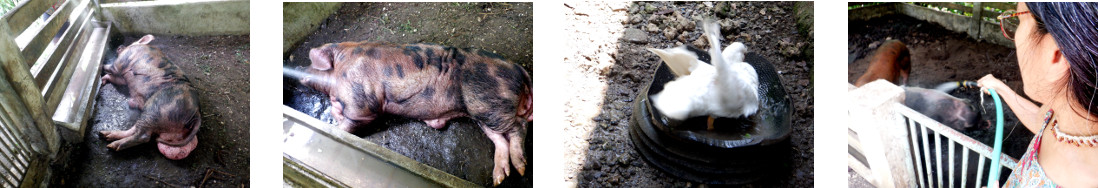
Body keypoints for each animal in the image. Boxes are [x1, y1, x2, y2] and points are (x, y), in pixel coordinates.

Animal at [300, 41, 531, 184]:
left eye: (312, 62)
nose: (299, 69)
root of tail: (518, 68)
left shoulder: (361, 102)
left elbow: (353, 121)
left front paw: (335, 128)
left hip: (490, 104)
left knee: (519, 127)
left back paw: (521, 168)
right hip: (482, 111)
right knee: (500, 138)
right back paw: (499, 178)